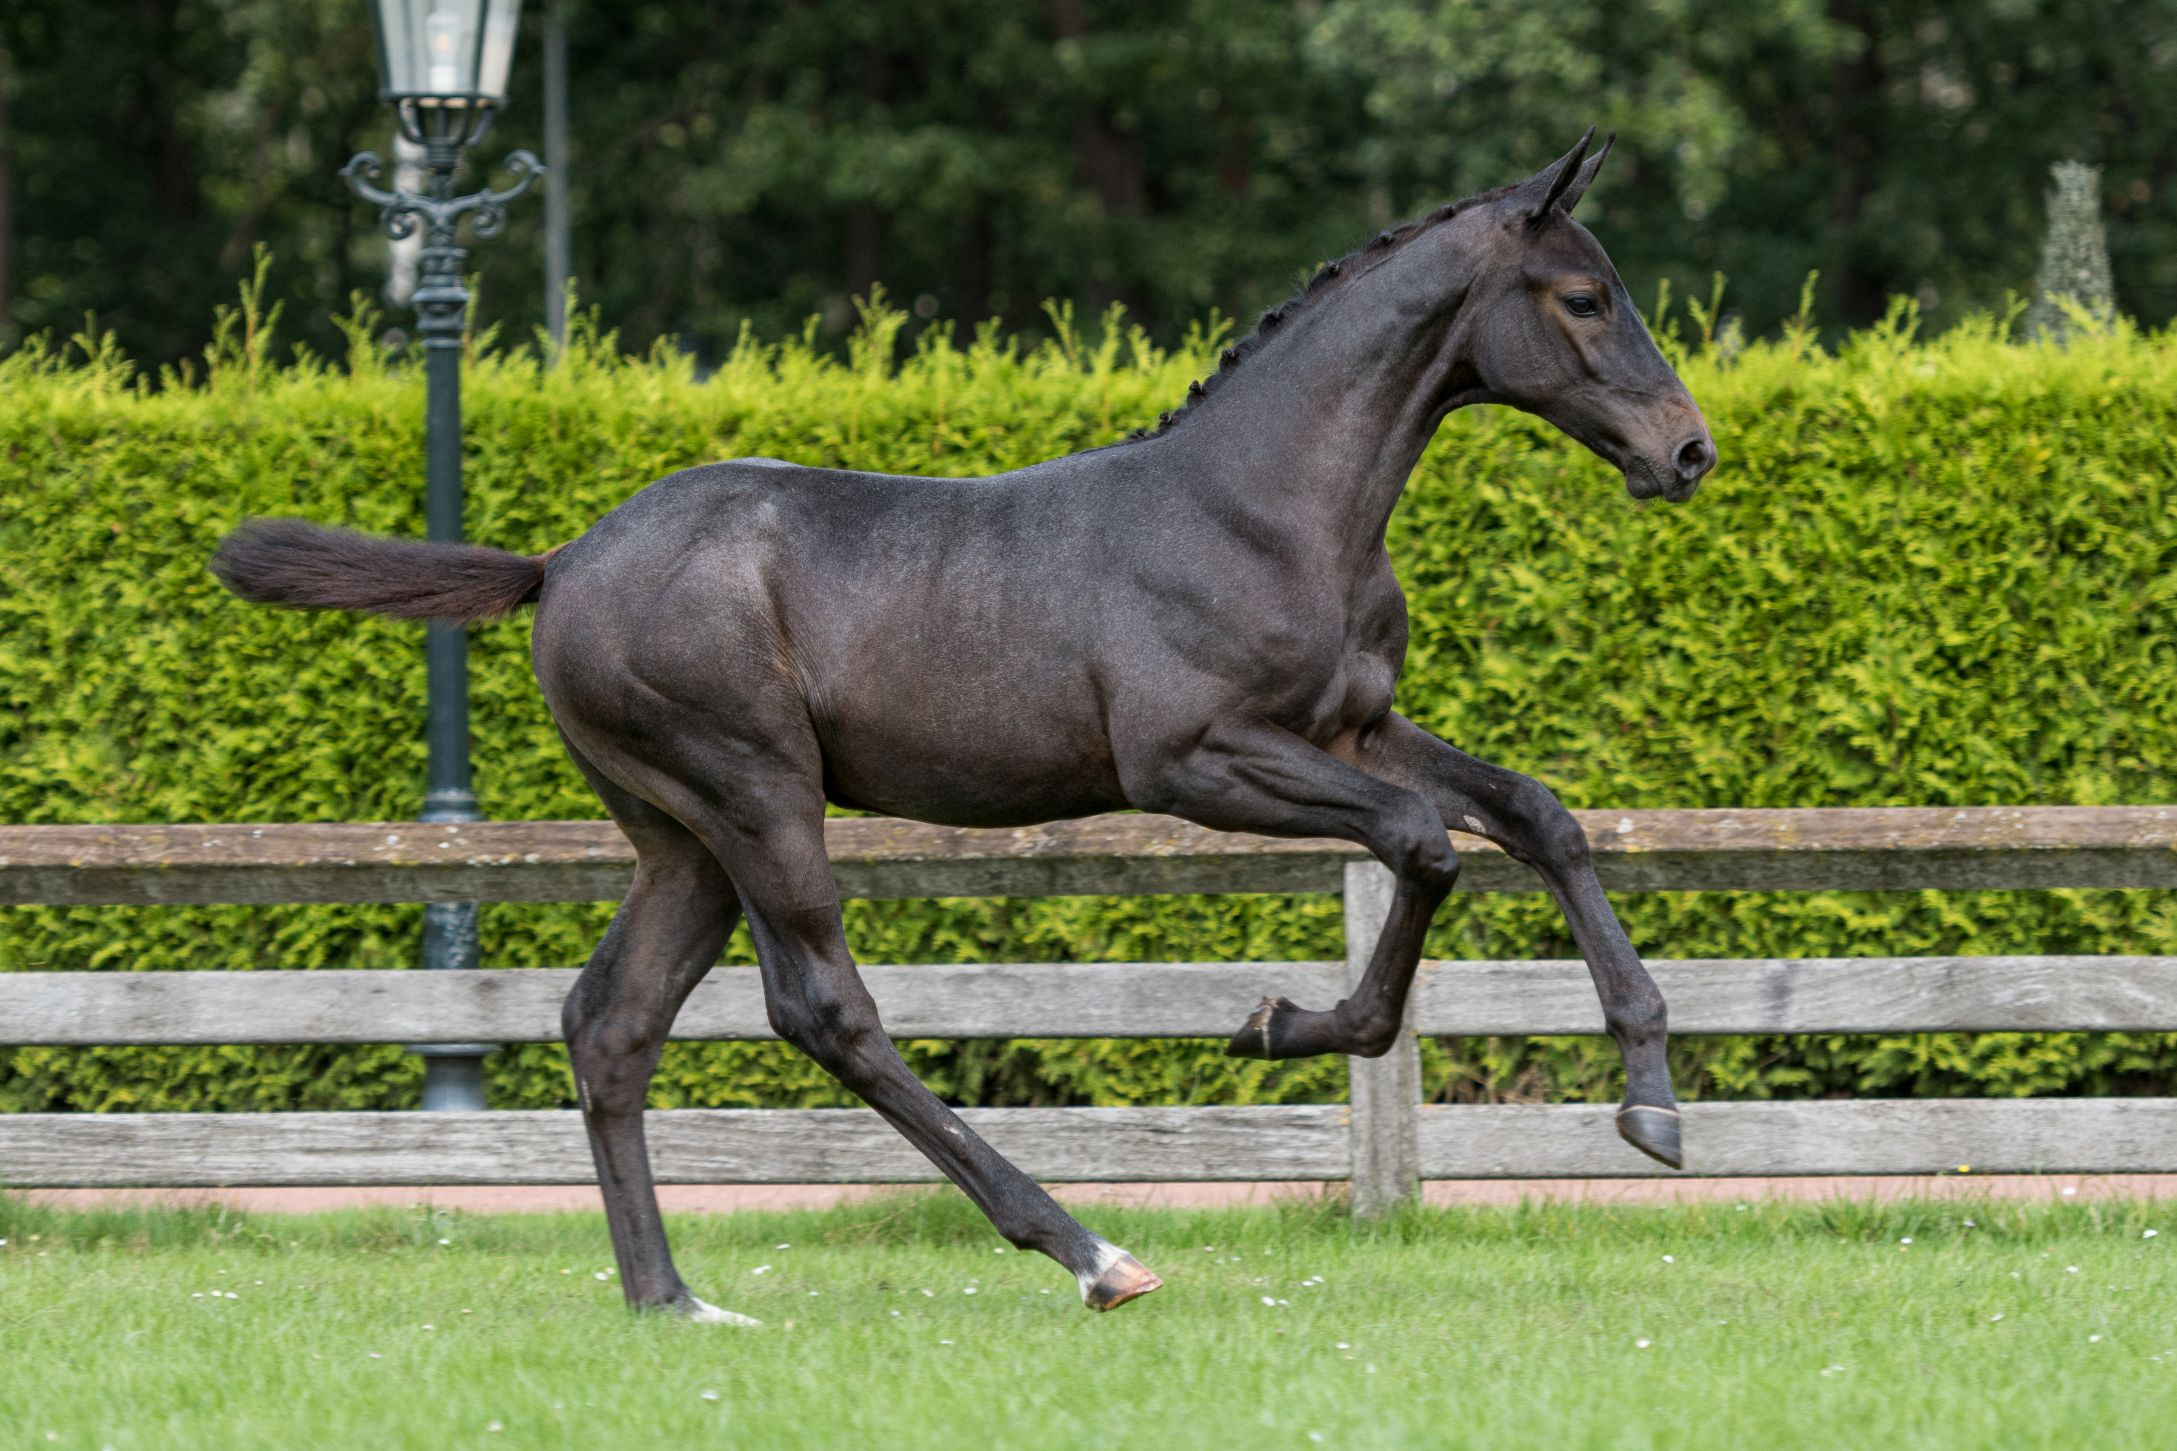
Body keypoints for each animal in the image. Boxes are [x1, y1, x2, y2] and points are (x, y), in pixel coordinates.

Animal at [213, 130, 1715, 1322]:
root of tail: (560, 560)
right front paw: (1285, 1020)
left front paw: (1651, 1099)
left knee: (609, 1021)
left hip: (681, 836)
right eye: (1584, 296)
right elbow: (1424, 842)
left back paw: (673, 1298)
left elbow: (1532, 813)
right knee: (822, 1008)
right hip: (756, 791)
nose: (1687, 450)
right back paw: (1090, 1252)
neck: (1265, 506)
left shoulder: (1353, 727)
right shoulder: (1194, 759)